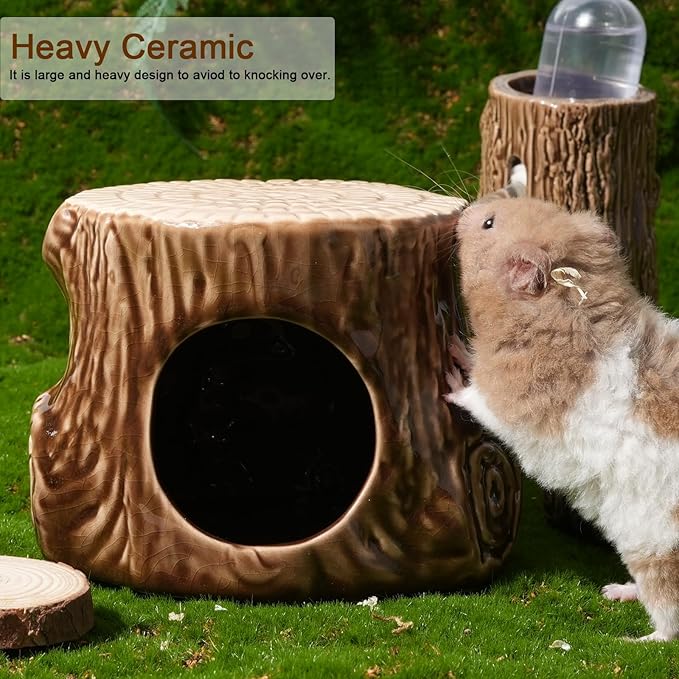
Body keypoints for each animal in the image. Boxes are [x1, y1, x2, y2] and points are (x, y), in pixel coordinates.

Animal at [444, 193, 679, 642]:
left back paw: (634, 636)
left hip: (654, 548)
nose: (463, 208)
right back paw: (615, 591)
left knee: (669, 617)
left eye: (487, 224)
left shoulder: (504, 400)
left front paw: (449, 369)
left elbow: (471, 393)